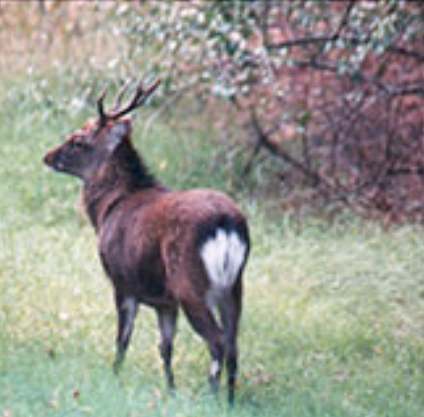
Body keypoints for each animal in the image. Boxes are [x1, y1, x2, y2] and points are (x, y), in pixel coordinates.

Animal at [43, 79, 250, 404]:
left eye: (79, 140)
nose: (48, 156)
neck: (107, 209)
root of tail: (227, 223)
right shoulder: (165, 301)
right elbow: (165, 348)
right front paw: (171, 391)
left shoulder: (122, 281)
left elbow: (122, 339)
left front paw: (114, 380)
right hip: (234, 287)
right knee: (233, 344)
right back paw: (229, 401)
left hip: (191, 284)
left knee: (217, 341)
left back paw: (212, 397)